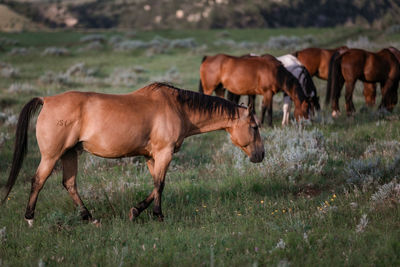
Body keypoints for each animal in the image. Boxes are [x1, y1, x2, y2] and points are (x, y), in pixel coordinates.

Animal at [3, 82, 266, 227]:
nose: (261, 155)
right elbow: (160, 184)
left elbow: (155, 185)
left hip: (69, 154)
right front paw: (157, 216)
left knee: (69, 184)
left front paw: (137, 211)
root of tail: (46, 100)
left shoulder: (152, 157)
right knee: (38, 181)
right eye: (254, 126)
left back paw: (90, 218)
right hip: (52, 156)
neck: (177, 107)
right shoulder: (164, 153)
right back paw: (30, 219)